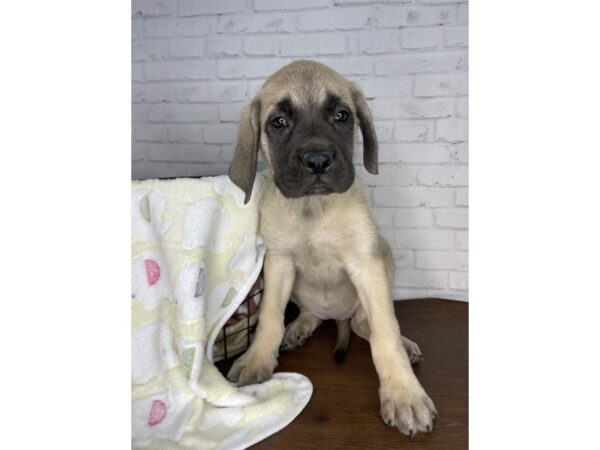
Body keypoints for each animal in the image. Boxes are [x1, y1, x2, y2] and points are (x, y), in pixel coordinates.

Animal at [225, 59, 436, 436]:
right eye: (278, 122)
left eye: (341, 116)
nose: (318, 161)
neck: (313, 208)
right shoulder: (279, 262)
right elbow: (270, 316)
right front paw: (258, 359)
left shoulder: (366, 265)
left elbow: (386, 333)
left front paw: (404, 394)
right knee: (314, 314)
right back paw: (297, 329)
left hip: (382, 263)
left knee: (365, 326)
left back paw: (404, 345)